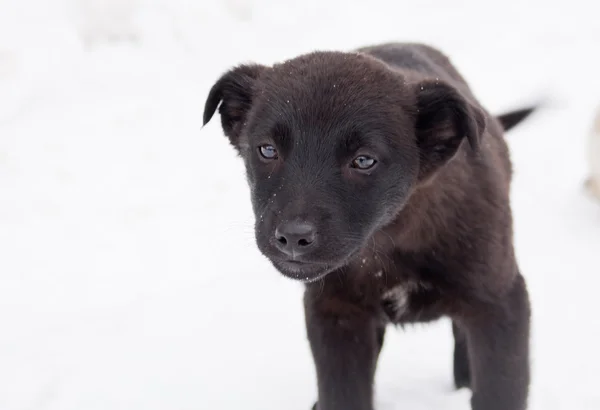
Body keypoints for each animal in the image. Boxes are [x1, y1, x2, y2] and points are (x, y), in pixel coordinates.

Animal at [203, 43, 536, 408]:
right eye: (267, 150)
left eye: (363, 160)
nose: (292, 236)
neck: (387, 241)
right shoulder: (335, 313)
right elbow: (343, 393)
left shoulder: (499, 304)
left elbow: (499, 388)